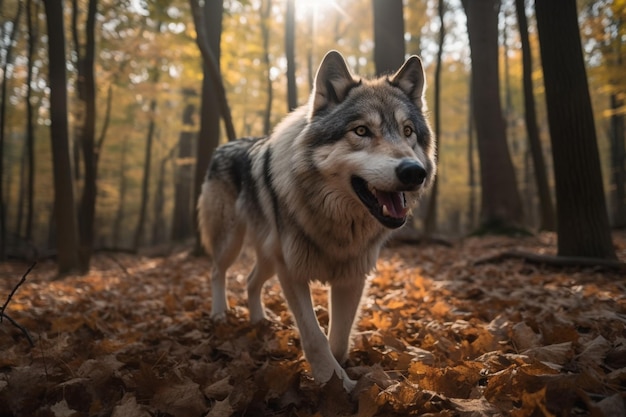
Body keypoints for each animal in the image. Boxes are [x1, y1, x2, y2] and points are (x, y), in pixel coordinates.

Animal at [197, 49, 436, 390]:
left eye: (407, 131)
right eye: (361, 131)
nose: (414, 172)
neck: (337, 224)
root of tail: (224, 145)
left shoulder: (352, 276)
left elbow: (339, 337)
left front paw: (339, 378)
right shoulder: (292, 272)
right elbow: (314, 337)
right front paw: (335, 383)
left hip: (269, 257)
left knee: (250, 280)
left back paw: (259, 321)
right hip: (234, 242)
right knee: (218, 271)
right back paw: (219, 314)